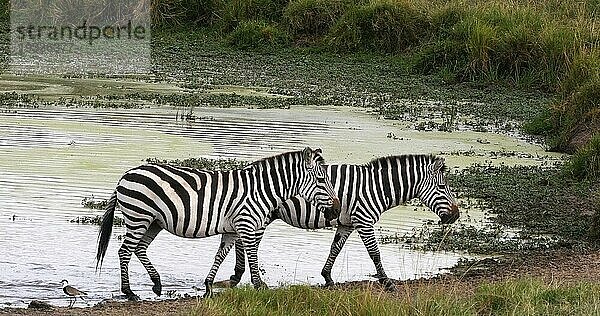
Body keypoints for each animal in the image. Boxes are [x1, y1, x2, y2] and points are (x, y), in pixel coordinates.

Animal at [93, 147, 338, 300]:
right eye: (321, 180)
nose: (336, 210)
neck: (261, 190)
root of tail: (125, 175)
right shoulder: (247, 225)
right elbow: (252, 255)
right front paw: (260, 285)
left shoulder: (232, 229)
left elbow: (220, 256)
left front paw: (209, 286)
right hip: (139, 216)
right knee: (125, 251)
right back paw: (129, 292)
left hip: (153, 221)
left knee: (139, 249)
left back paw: (156, 283)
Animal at [221, 154, 460, 290]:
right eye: (442, 187)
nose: (456, 216)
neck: (376, 187)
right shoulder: (364, 220)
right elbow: (375, 253)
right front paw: (387, 282)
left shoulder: (347, 224)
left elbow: (335, 248)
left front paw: (327, 277)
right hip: (261, 216)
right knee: (246, 243)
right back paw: (238, 275)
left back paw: (237, 274)